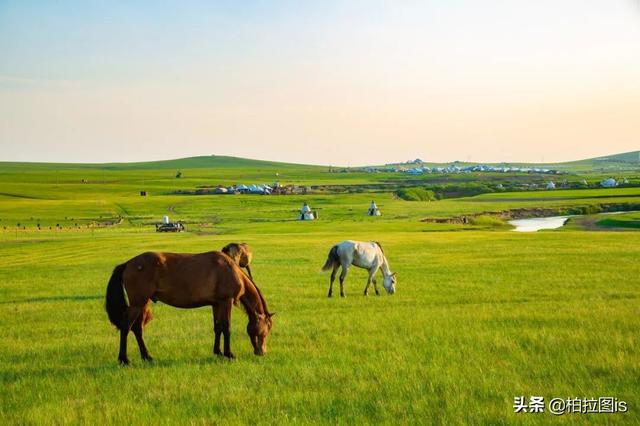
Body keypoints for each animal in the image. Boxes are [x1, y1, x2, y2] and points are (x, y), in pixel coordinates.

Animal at [104, 251, 272, 364]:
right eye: (266, 331)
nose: (262, 352)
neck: (230, 269)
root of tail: (128, 264)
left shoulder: (216, 304)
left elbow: (218, 328)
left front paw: (217, 352)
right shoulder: (226, 302)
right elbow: (227, 328)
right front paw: (229, 354)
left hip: (143, 304)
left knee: (138, 329)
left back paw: (147, 356)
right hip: (137, 304)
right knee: (126, 327)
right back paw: (124, 359)